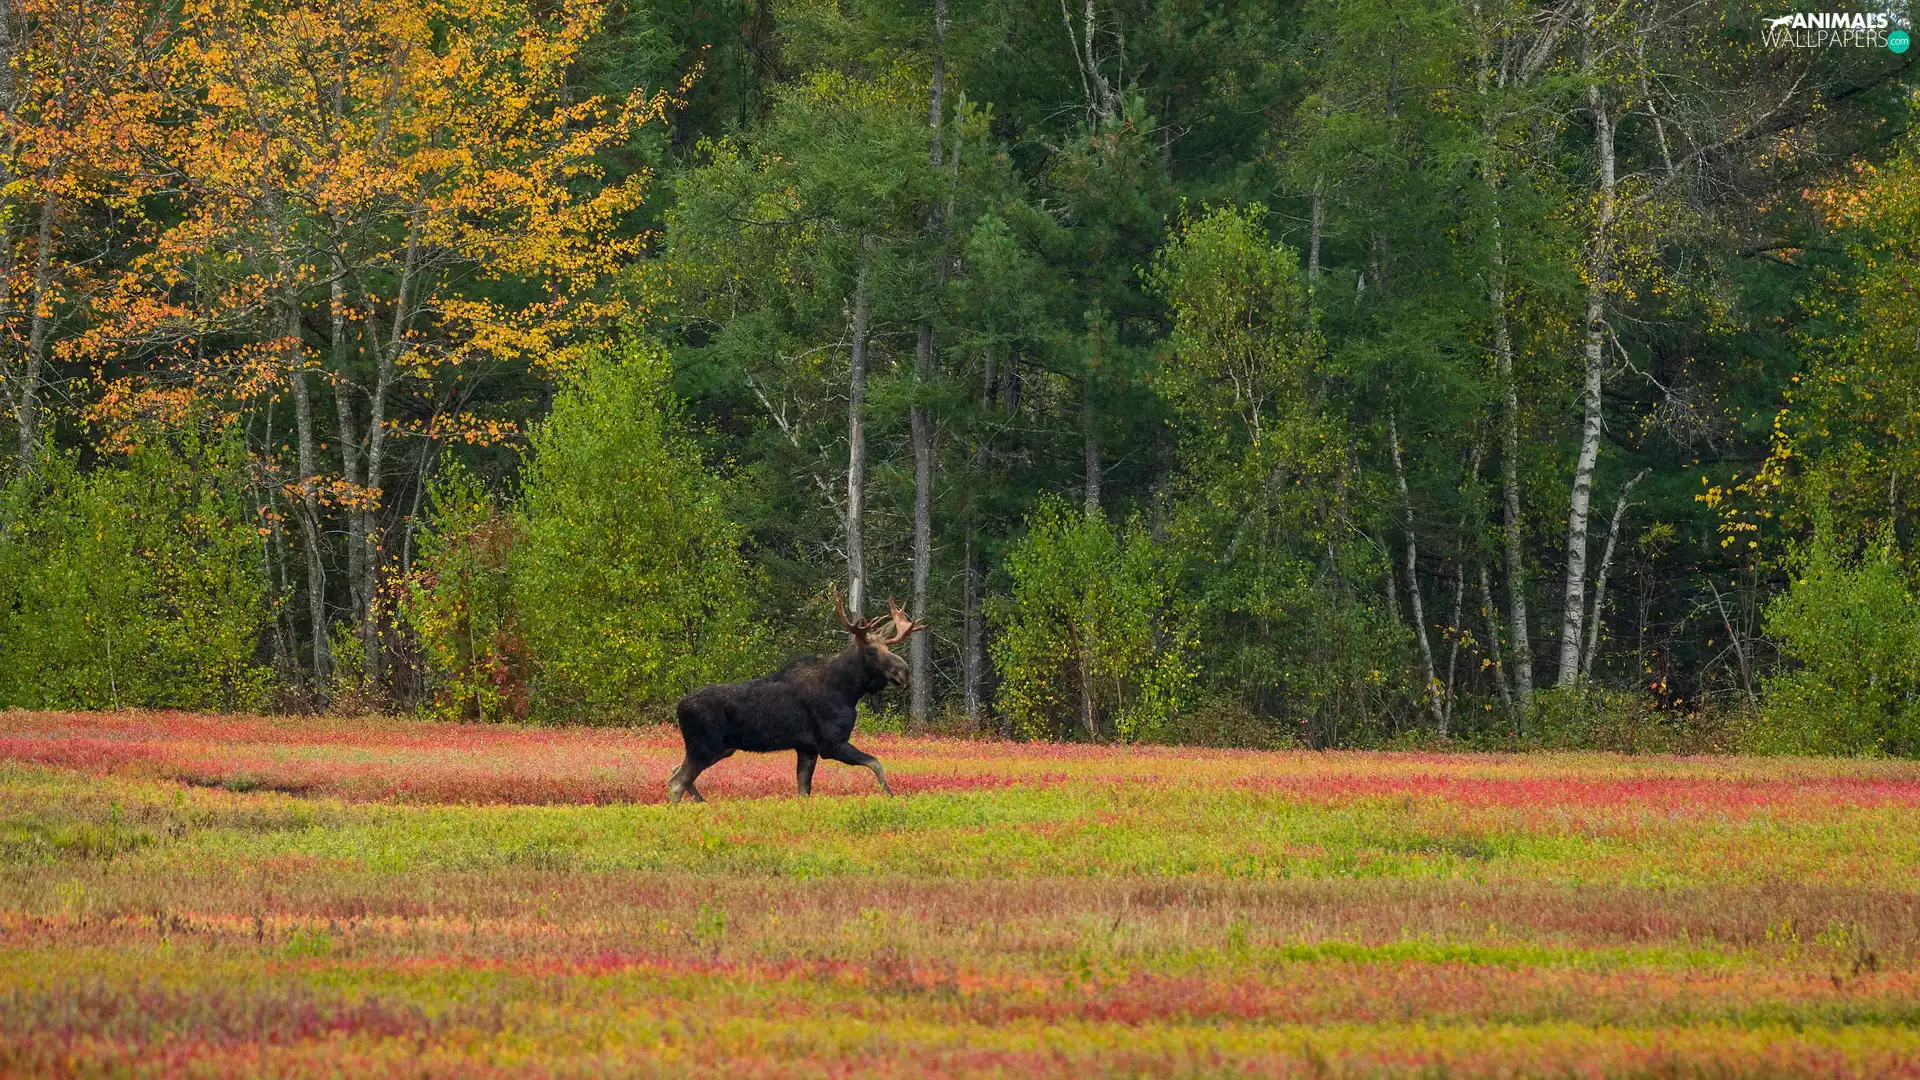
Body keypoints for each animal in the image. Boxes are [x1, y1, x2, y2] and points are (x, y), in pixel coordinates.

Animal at [667, 586, 926, 803]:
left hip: (714, 749)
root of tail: (678, 707)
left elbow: (804, 792)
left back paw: (701, 802)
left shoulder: (807, 749)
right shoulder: (832, 744)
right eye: (872, 650)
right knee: (676, 783)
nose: (904, 671)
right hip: (706, 747)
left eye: (888, 647)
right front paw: (891, 795)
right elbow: (876, 763)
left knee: (676, 773)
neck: (848, 691)